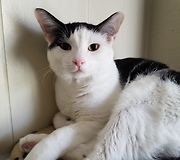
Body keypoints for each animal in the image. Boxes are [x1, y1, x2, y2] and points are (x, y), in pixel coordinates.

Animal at [19, 8, 180, 160]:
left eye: (93, 47)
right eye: (65, 46)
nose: (78, 61)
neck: (75, 88)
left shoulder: (96, 122)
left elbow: (61, 133)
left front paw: (38, 152)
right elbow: (58, 119)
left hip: (132, 106)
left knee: (104, 153)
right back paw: (32, 141)